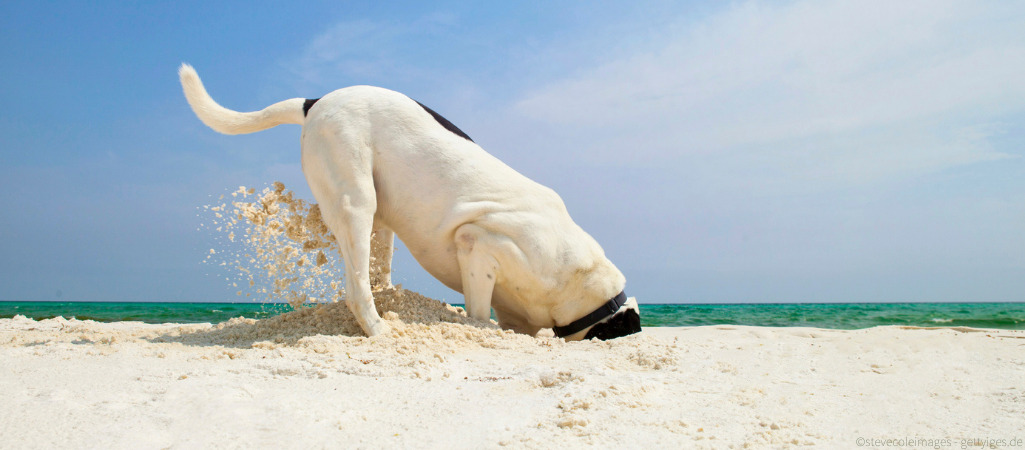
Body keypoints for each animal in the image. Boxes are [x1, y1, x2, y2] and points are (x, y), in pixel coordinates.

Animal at [178, 64, 639, 342]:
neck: (584, 281)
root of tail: (317, 100)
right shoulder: (478, 244)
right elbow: (478, 312)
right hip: (356, 201)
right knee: (356, 287)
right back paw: (380, 331)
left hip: (381, 221)